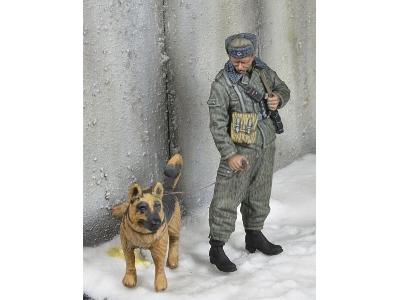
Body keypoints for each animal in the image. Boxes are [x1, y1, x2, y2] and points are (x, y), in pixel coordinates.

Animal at [111, 154, 183, 292]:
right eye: (143, 207)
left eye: (158, 206)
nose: (158, 222)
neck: (142, 232)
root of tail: (167, 188)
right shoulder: (127, 245)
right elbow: (130, 262)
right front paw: (130, 279)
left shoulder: (159, 247)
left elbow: (159, 266)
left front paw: (160, 283)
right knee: (128, 201)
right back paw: (118, 209)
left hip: (174, 226)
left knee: (175, 240)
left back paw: (172, 260)